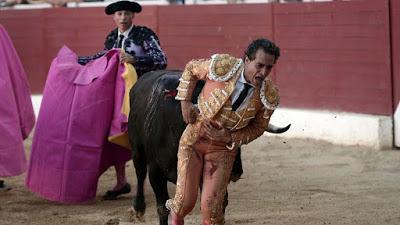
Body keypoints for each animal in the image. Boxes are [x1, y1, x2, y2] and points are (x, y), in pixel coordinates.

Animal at [130, 70, 290, 225]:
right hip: (137, 150)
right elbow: (162, 208)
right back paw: (138, 209)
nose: (235, 172)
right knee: (140, 173)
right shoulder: (155, 171)